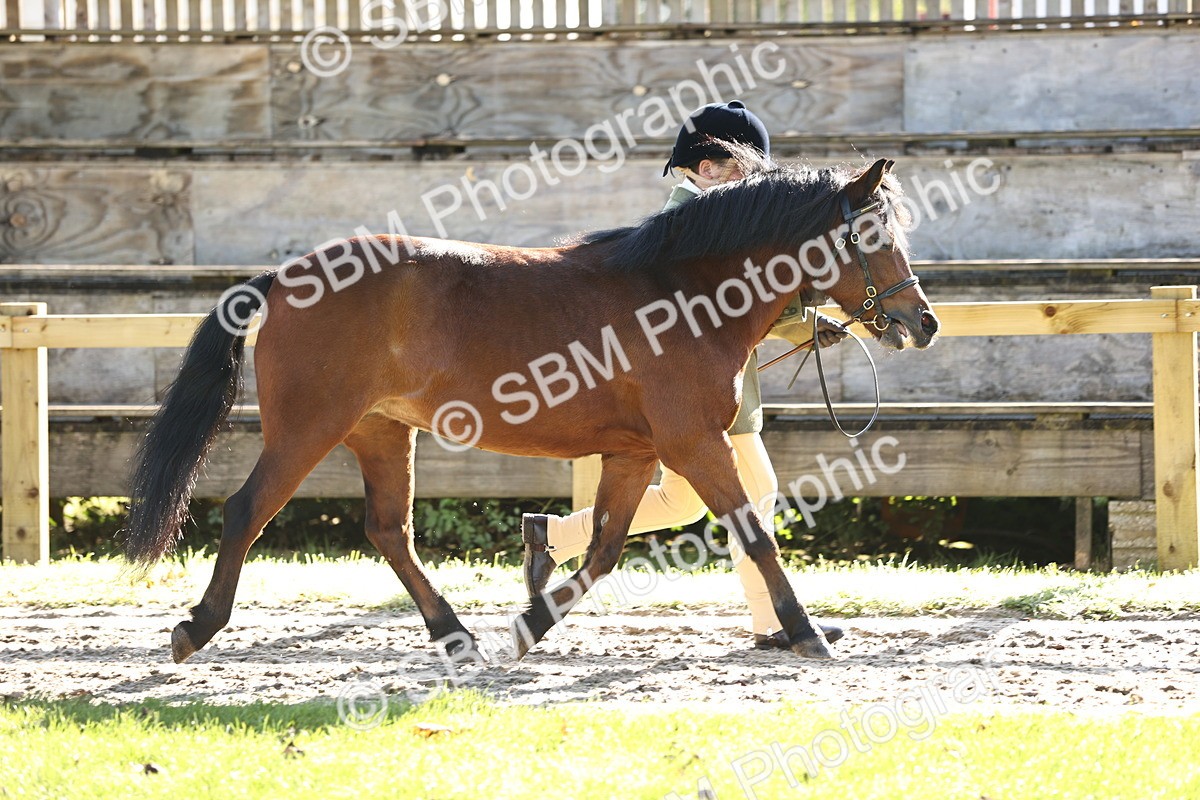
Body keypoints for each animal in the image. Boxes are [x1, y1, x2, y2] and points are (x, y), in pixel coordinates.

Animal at [122, 156, 939, 665]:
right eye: (873, 235)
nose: (922, 322)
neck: (683, 292)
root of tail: (285, 275)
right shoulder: (695, 443)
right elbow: (755, 535)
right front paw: (806, 633)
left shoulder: (636, 452)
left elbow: (606, 549)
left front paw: (527, 625)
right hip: (307, 429)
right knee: (247, 511)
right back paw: (196, 628)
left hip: (382, 432)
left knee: (389, 531)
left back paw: (455, 634)